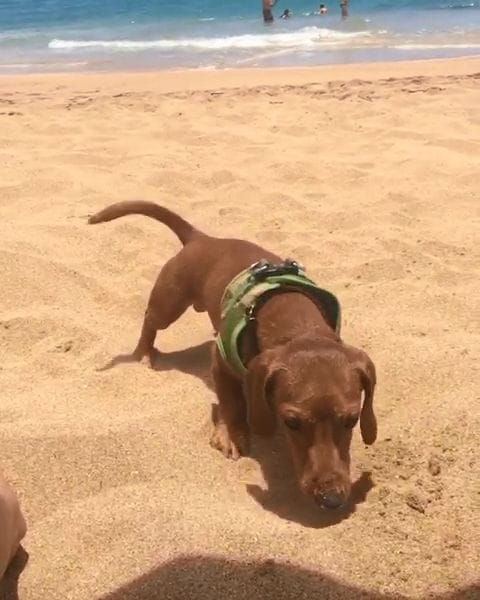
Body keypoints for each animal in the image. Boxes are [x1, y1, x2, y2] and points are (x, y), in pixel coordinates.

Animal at [89, 201, 377, 510]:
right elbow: (230, 403)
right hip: (169, 303)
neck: (294, 320)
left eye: (352, 419)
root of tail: (202, 239)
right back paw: (143, 352)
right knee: (150, 321)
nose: (331, 499)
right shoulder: (220, 363)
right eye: (291, 422)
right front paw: (231, 434)